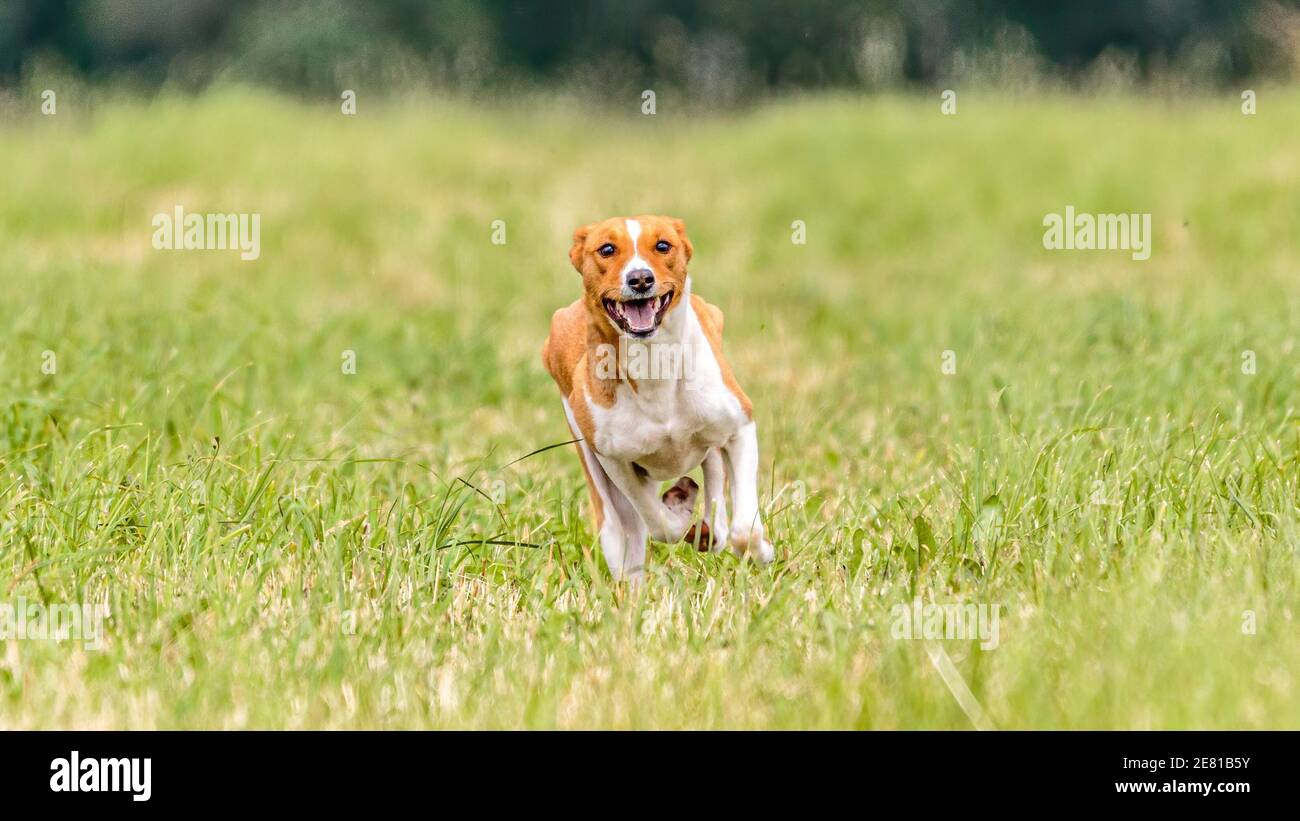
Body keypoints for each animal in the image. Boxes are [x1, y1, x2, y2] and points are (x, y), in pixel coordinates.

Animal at [540, 214, 769, 579]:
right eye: (607, 249)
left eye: (663, 245)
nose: (640, 278)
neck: (654, 366)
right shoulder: (615, 461)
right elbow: (659, 523)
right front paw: (680, 512)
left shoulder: (739, 426)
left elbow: (744, 529)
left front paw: (760, 552)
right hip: (599, 483)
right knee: (625, 534)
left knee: (715, 477)